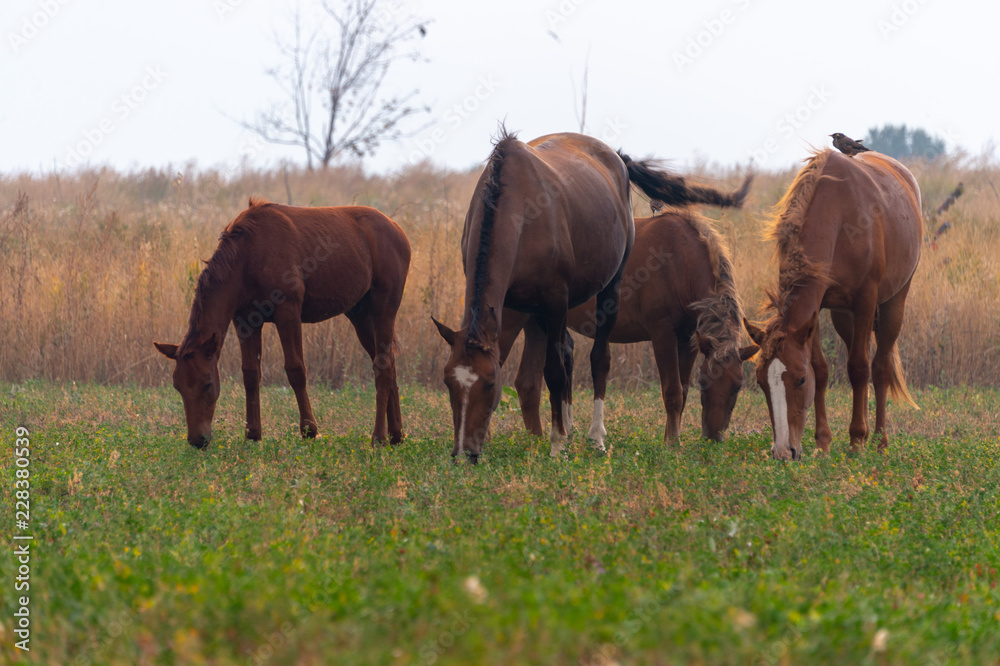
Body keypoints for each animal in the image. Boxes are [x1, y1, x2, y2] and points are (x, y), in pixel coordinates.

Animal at [153, 197, 410, 446]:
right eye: (177, 386)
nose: (197, 439)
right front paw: (253, 433)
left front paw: (309, 429)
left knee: (382, 366)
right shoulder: (245, 320)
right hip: (360, 315)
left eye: (207, 383)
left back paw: (379, 436)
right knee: (388, 362)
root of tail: (400, 232)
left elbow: (296, 369)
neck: (247, 258)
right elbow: (250, 373)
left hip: (384, 308)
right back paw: (396, 433)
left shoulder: (288, 311)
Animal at [500, 202, 756, 440]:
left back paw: (538, 441)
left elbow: (683, 391)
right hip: (512, 320)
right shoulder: (662, 333)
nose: (713, 437)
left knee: (527, 384)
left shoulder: (690, 339)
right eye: (703, 383)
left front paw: (671, 438)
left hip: (538, 323)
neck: (680, 262)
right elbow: (672, 391)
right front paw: (672, 444)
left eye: (738, 386)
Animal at [744, 150, 920, 460]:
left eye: (801, 380)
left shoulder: (865, 302)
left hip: (893, 303)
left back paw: (878, 440)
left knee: (880, 366)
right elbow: (822, 369)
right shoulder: (816, 310)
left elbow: (859, 368)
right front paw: (822, 442)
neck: (839, 219)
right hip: (843, 317)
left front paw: (856, 440)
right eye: (761, 382)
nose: (783, 451)